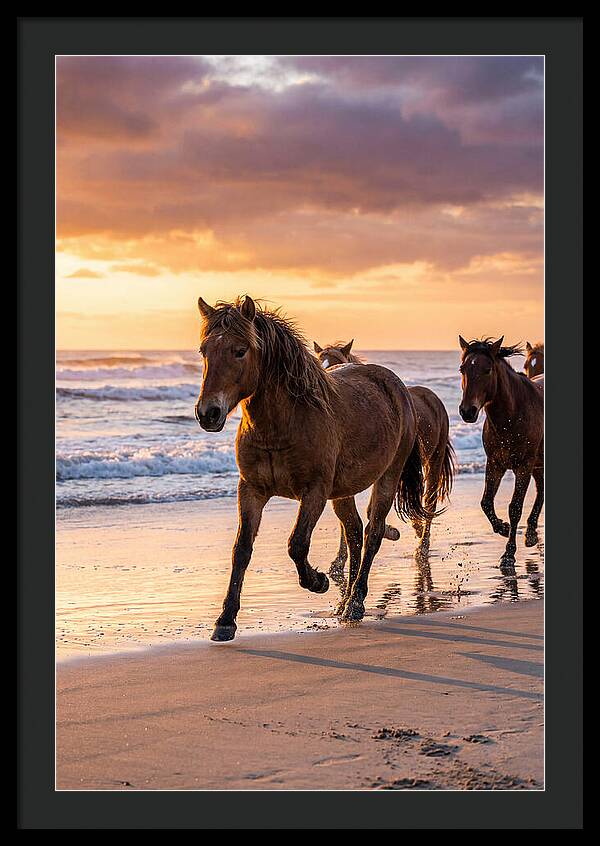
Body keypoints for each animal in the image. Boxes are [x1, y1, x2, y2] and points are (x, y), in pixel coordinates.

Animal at [195, 296, 431, 640]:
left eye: (240, 350)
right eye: (204, 351)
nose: (207, 413)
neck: (283, 423)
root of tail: (399, 388)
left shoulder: (314, 492)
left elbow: (296, 544)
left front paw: (318, 581)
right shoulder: (251, 490)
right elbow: (242, 550)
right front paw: (225, 620)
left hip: (386, 478)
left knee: (372, 533)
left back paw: (355, 603)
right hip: (342, 492)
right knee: (354, 533)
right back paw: (345, 602)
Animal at [314, 340, 455, 560]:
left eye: (337, 361)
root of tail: (432, 397)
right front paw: (339, 560)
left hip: (433, 461)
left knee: (429, 502)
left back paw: (422, 546)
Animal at [458, 336, 544, 563]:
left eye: (487, 369)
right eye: (462, 369)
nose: (467, 411)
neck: (512, 414)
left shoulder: (523, 466)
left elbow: (514, 508)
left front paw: (509, 553)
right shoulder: (495, 464)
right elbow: (486, 502)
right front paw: (503, 528)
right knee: (541, 489)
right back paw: (531, 533)